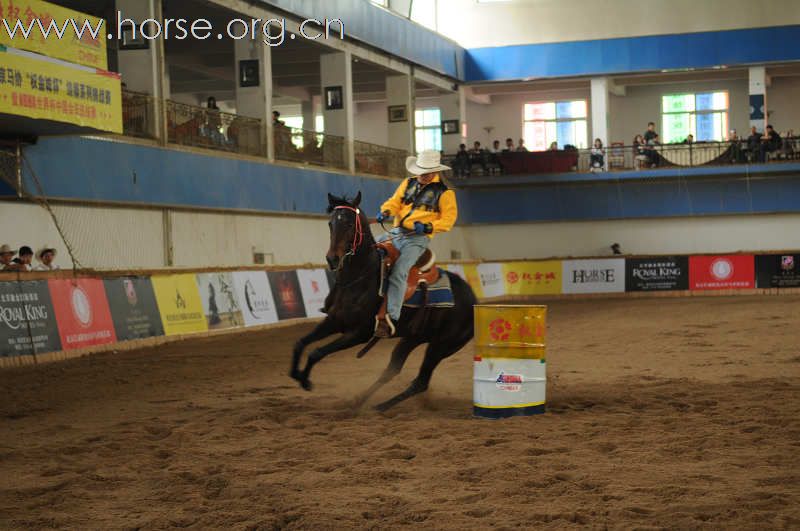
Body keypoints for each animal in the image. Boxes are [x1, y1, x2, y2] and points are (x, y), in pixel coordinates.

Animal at [290, 192, 478, 412]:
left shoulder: (359, 334)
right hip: (413, 338)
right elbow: (301, 343)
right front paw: (297, 374)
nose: (332, 259)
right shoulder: (333, 321)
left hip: (441, 346)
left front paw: (305, 380)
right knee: (392, 371)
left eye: (350, 224)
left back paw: (381, 406)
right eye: (330, 223)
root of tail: (473, 300)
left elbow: (317, 352)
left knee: (420, 382)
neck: (360, 278)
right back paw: (361, 401)